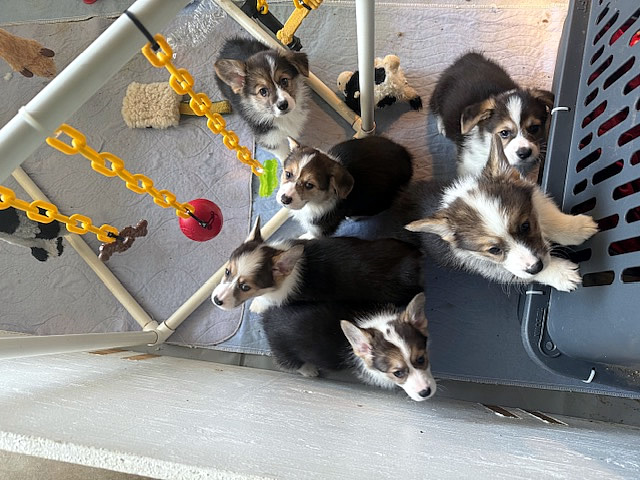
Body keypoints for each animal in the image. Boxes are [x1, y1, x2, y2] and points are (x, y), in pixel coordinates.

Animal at [211, 217, 423, 313]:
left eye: (245, 287)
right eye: (227, 271)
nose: (216, 301)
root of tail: (417, 258)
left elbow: (266, 301)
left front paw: (256, 305)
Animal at [260, 293, 436, 402]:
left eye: (421, 359)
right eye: (397, 373)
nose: (425, 392)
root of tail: (268, 314)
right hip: (283, 349)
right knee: (289, 362)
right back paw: (309, 370)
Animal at [277, 136, 413, 237]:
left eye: (309, 185)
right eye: (288, 174)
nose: (284, 199)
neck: (313, 203)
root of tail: (407, 158)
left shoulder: (321, 227)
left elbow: (311, 235)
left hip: (378, 201)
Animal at [405, 135, 598, 291]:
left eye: (525, 226)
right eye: (494, 250)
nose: (536, 266)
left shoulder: (535, 199)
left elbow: (549, 218)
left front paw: (578, 228)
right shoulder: (486, 264)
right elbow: (518, 271)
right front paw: (562, 273)